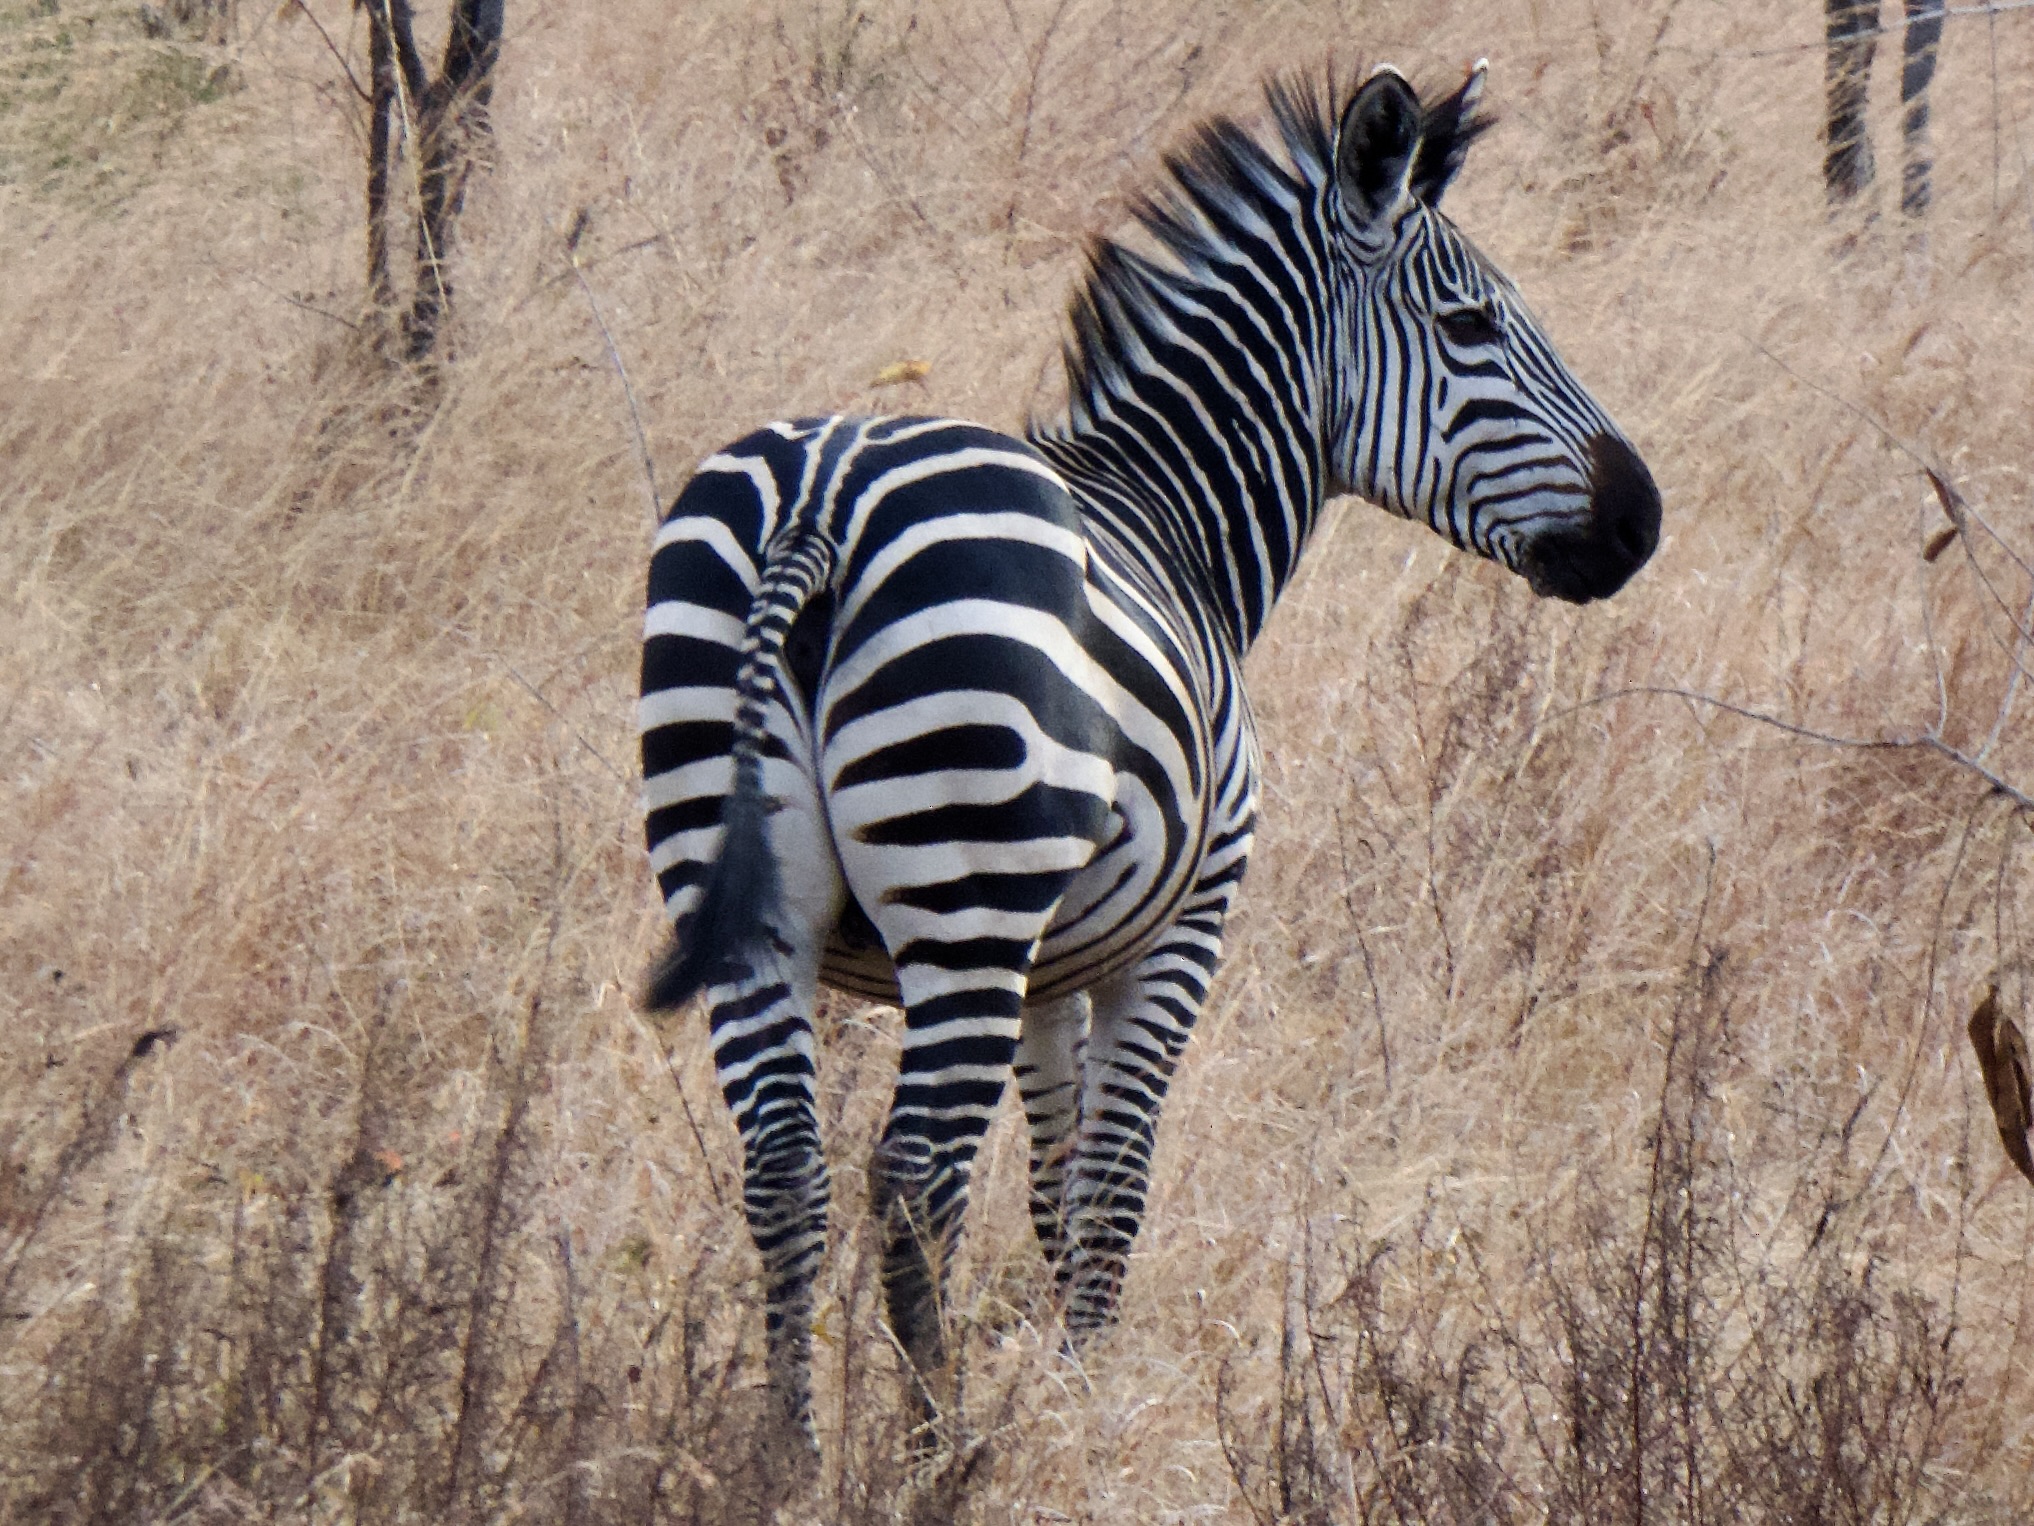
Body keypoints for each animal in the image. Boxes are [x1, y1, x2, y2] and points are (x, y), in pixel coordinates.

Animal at [638, 59, 1667, 1448]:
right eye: (1469, 326)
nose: (1642, 519)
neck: (1177, 522)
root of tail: (822, 495)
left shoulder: (1054, 963)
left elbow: (1056, 1182)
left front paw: (1065, 1376)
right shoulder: (1182, 923)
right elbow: (1116, 1181)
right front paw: (1088, 1395)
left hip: (749, 881)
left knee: (785, 1170)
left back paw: (791, 1455)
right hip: (963, 894)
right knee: (912, 1175)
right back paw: (931, 1449)